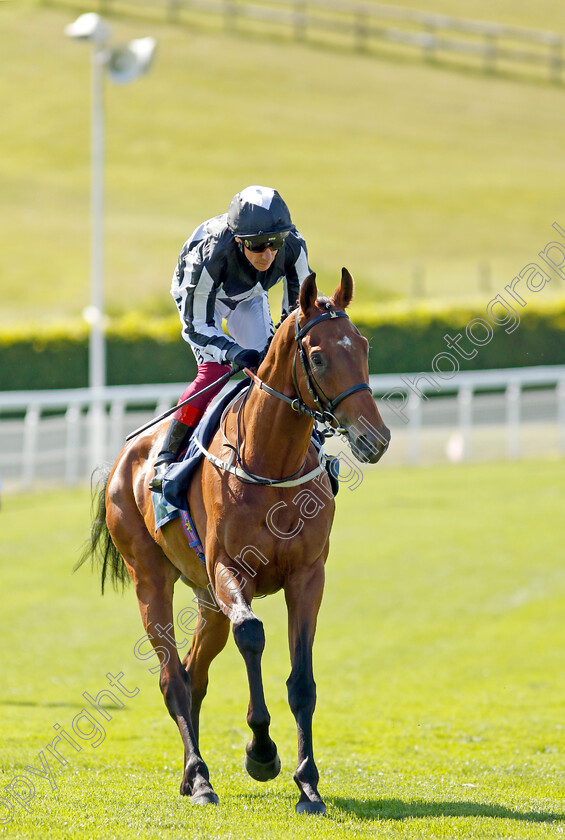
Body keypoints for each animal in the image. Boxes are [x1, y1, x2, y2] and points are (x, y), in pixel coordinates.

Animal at [80, 270, 388, 812]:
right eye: (318, 356)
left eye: (364, 345)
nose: (376, 437)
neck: (272, 462)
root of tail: (123, 460)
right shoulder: (230, 570)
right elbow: (253, 635)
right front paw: (261, 752)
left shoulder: (308, 575)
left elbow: (302, 680)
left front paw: (308, 784)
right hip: (151, 579)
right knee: (173, 678)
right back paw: (200, 777)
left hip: (206, 600)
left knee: (194, 673)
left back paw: (192, 773)